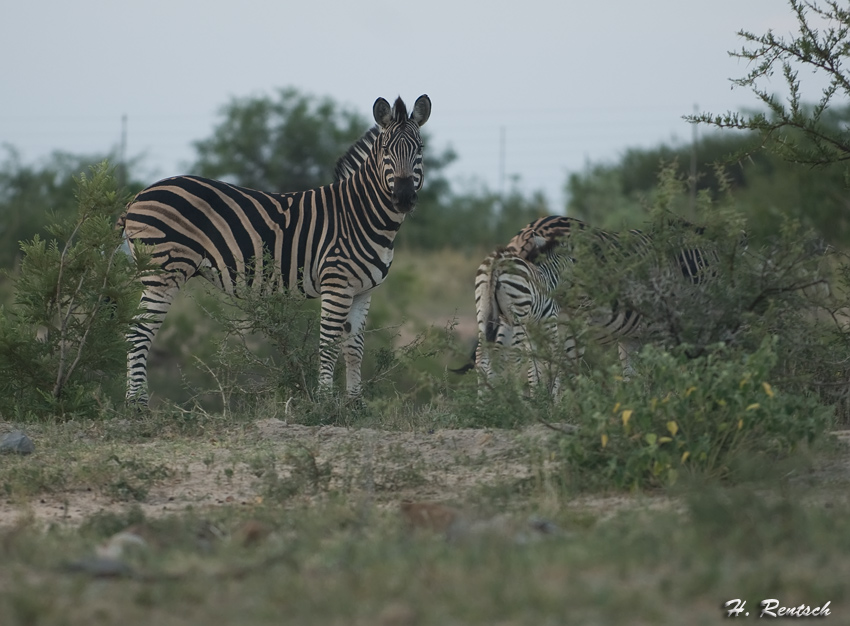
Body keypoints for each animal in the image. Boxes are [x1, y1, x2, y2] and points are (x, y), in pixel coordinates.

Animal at [117, 94, 430, 402]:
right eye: (386, 150)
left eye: (420, 149)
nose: (403, 197)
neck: (360, 215)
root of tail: (138, 195)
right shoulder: (337, 284)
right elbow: (328, 345)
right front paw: (325, 404)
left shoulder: (363, 291)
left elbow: (354, 348)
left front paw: (355, 405)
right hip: (162, 272)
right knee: (138, 333)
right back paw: (137, 405)